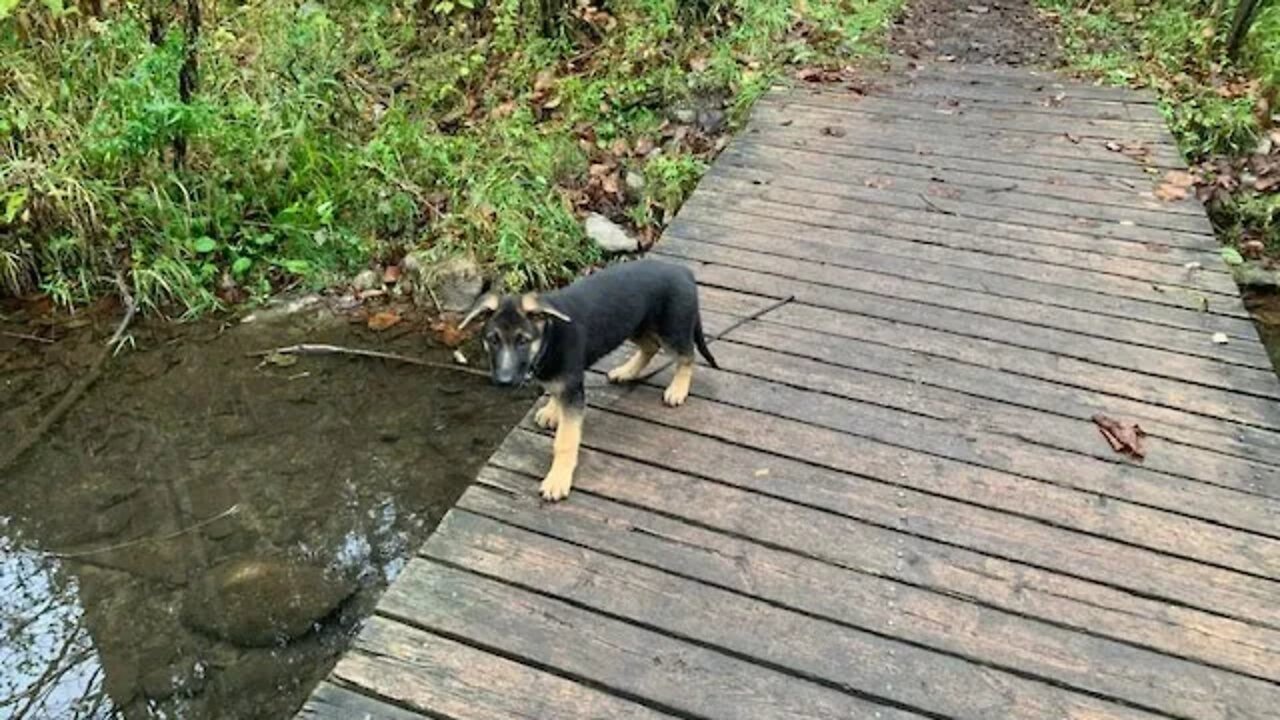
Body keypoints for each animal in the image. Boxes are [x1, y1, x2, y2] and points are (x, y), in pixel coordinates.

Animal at [460, 257, 721, 499]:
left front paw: (558, 479)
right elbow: (555, 392)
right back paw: (626, 371)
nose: (503, 381)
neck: (549, 337)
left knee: (687, 356)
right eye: (493, 340)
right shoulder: (566, 383)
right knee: (650, 347)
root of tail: (683, 271)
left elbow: (566, 440)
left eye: (522, 341)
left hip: (672, 328)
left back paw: (678, 389)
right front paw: (552, 410)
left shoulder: (573, 390)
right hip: (635, 324)